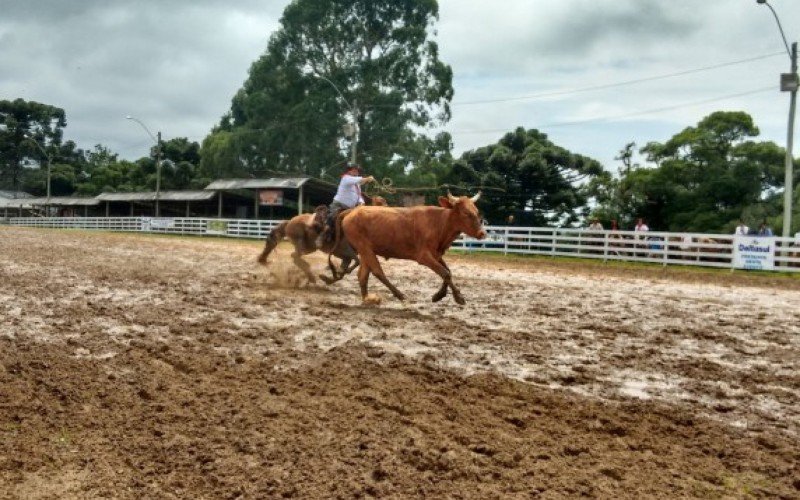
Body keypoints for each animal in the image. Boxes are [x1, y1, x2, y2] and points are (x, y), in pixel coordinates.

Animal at [328, 191, 484, 304]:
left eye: (477, 212)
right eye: (466, 213)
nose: (482, 233)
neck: (438, 223)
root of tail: (351, 212)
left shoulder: (436, 254)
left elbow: (448, 272)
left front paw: (442, 295)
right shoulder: (424, 256)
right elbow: (445, 273)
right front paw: (454, 297)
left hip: (366, 250)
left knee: (363, 275)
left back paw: (367, 298)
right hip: (364, 248)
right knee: (378, 271)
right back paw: (399, 294)